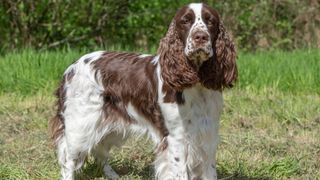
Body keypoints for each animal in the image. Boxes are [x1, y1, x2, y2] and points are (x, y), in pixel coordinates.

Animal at [49, 2, 235, 180]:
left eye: (210, 21)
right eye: (185, 21)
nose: (201, 37)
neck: (196, 84)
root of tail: (71, 67)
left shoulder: (208, 134)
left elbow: (210, 171)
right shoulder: (177, 138)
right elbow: (180, 172)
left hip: (110, 125)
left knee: (99, 151)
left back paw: (113, 175)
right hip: (81, 125)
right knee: (68, 159)